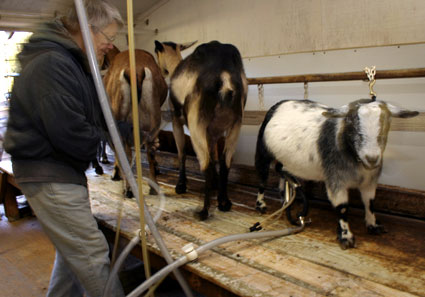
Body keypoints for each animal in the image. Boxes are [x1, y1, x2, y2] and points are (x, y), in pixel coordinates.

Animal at [102, 48, 167, 197]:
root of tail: (136, 71)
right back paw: (152, 187)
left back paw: (128, 187)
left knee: (126, 152)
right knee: (150, 149)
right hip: (153, 118)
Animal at [155, 40, 248, 219]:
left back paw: (203, 211)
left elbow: (182, 153)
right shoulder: (212, 132)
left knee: (205, 163)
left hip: (196, 122)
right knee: (225, 162)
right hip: (236, 124)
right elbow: (214, 155)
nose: (161, 71)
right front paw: (216, 185)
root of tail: (224, 77)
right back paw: (224, 202)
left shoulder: (177, 121)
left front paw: (181, 185)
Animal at [255, 99, 418, 247]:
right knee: (262, 180)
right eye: (351, 122)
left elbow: (370, 202)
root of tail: (279, 105)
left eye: (387, 123)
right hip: (263, 152)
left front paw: (373, 225)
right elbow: (342, 207)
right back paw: (261, 205)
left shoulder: (369, 181)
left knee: (280, 170)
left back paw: (286, 199)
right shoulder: (335, 179)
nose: (372, 158)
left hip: (284, 158)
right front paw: (346, 236)